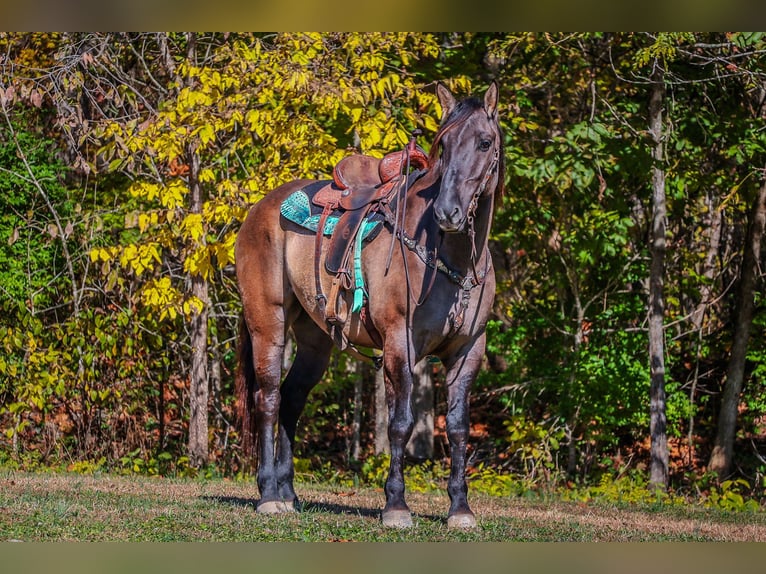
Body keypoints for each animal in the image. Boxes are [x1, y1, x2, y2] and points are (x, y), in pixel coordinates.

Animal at [237, 82, 508, 532]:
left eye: (485, 143)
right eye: (444, 145)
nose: (448, 212)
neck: (446, 256)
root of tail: (260, 209)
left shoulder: (468, 350)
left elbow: (458, 427)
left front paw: (460, 508)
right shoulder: (400, 342)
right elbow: (400, 423)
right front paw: (396, 504)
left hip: (315, 340)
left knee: (292, 398)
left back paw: (289, 494)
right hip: (267, 323)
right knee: (269, 398)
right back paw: (269, 496)